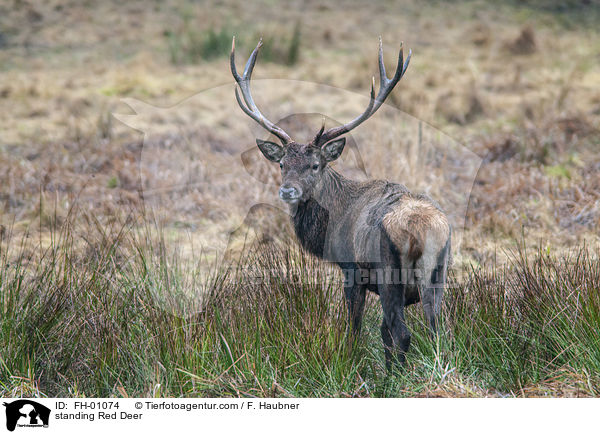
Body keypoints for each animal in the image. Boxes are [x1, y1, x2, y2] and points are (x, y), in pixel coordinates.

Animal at [230, 38, 450, 370]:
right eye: (282, 164)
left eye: (315, 165)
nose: (288, 191)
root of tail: (424, 233)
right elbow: (381, 333)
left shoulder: (351, 270)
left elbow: (355, 328)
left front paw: (349, 362)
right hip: (437, 275)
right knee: (436, 332)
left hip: (390, 274)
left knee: (403, 332)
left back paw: (397, 376)